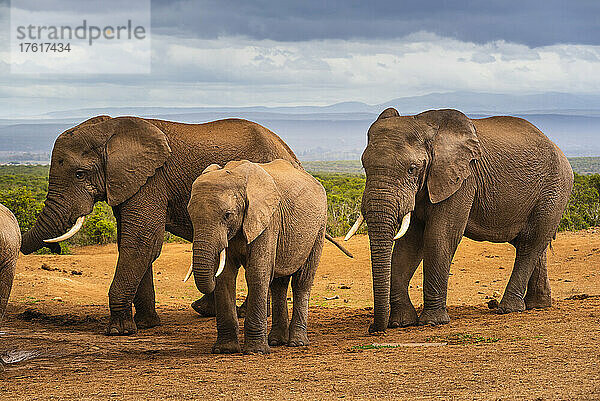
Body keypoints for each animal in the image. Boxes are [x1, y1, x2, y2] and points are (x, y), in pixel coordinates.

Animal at [21, 115, 302, 334]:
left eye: (79, 174)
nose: (54, 249)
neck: (110, 129)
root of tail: (291, 154)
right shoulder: (130, 183)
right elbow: (132, 243)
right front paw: (146, 324)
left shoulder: (151, 180)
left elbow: (142, 241)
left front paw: (119, 330)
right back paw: (206, 310)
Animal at [188, 159, 328, 354]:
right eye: (190, 215)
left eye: (227, 215)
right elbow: (225, 275)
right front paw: (225, 350)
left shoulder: (268, 220)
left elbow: (257, 273)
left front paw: (256, 351)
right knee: (278, 284)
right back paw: (276, 341)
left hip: (319, 228)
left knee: (302, 281)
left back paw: (297, 343)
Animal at [344, 107, 576, 332]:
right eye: (364, 167)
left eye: (412, 169)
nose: (373, 328)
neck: (424, 123)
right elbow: (409, 244)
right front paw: (401, 323)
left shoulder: (462, 180)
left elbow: (439, 237)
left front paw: (432, 322)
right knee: (534, 244)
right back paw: (537, 306)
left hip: (554, 190)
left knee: (530, 244)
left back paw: (508, 309)